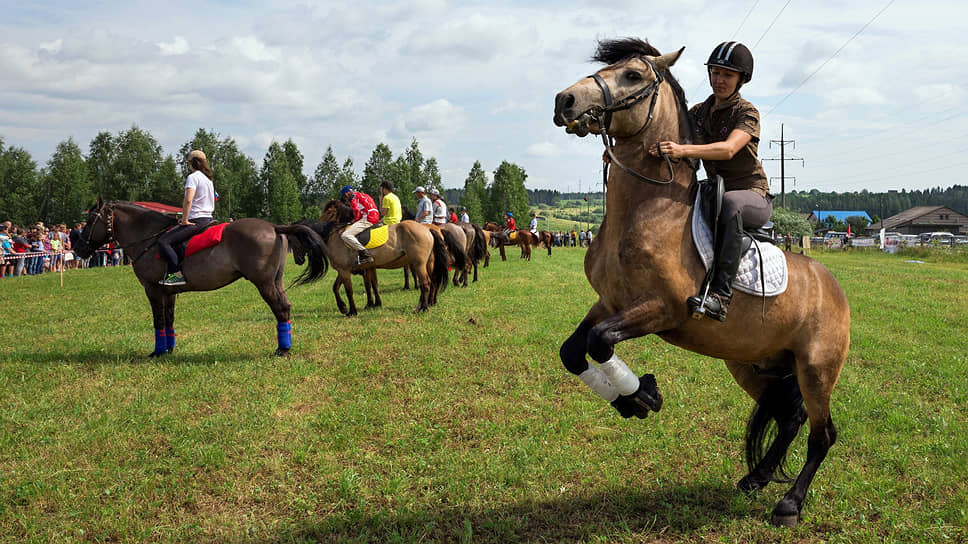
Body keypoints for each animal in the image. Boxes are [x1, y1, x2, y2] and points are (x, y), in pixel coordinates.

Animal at [552, 38, 848, 528]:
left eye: (633, 75)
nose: (565, 101)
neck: (649, 209)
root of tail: (834, 288)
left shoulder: (662, 309)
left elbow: (599, 341)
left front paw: (642, 396)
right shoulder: (609, 303)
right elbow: (575, 350)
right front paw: (633, 398)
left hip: (816, 370)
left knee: (823, 434)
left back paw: (789, 505)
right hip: (754, 364)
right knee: (789, 419)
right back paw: (756, 478)